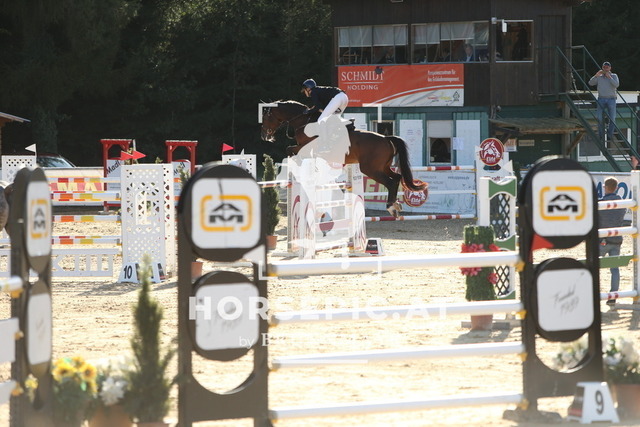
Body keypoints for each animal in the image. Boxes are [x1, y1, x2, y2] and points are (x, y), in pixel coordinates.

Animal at [260, 100, 427, 217]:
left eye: (267, 116)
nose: (264, 135)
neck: (303, 122)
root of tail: (386, 138)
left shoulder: (304, 148)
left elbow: (289, 150)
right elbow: (291, 151)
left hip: (370, 169)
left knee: (391, 182)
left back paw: (391, 207)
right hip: (383, 167)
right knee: (397, 177)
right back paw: (396, 205)